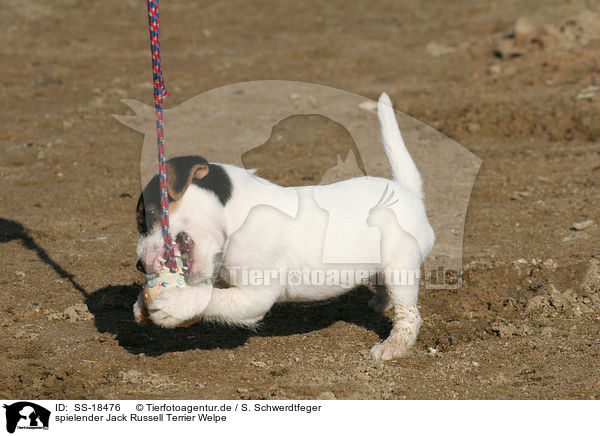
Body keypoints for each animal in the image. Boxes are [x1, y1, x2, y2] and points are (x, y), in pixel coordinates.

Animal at [134, 93, 434, 360]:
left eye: (150, 213)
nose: (138, 264)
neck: (237, 215)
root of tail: (407, 190)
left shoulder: (255, 296)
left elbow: (209, 296)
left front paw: (173, 304)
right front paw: (141, 305)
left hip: (401, 267)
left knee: (410, 315)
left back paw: (393, 347)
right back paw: (381, 303)